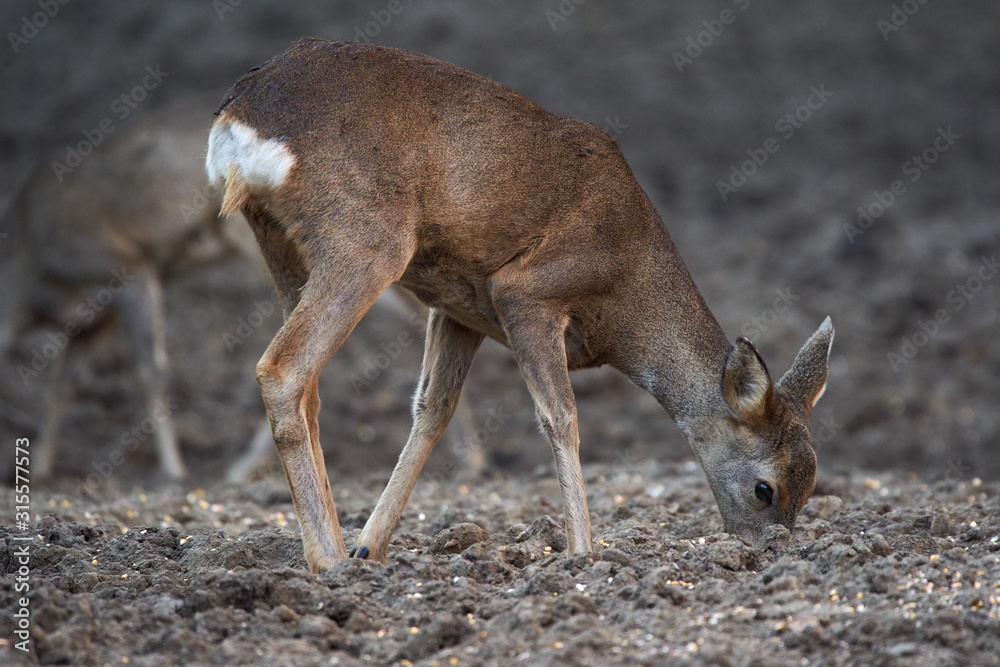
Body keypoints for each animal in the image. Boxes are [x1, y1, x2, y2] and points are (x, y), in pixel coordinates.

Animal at [206, 38, 835, 571]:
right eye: (765, 488)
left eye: (812, 485)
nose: (771, 552)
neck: (626, 297)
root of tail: (237, 118)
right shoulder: (525, 291)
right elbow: (562, 417)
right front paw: (583, 553)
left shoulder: (458, 305)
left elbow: (432, 410)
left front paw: (373, 547)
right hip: (366, 239)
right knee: (282, 368)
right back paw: (326, 561)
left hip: (283, 243)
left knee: (308, 383)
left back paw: (339, 550)